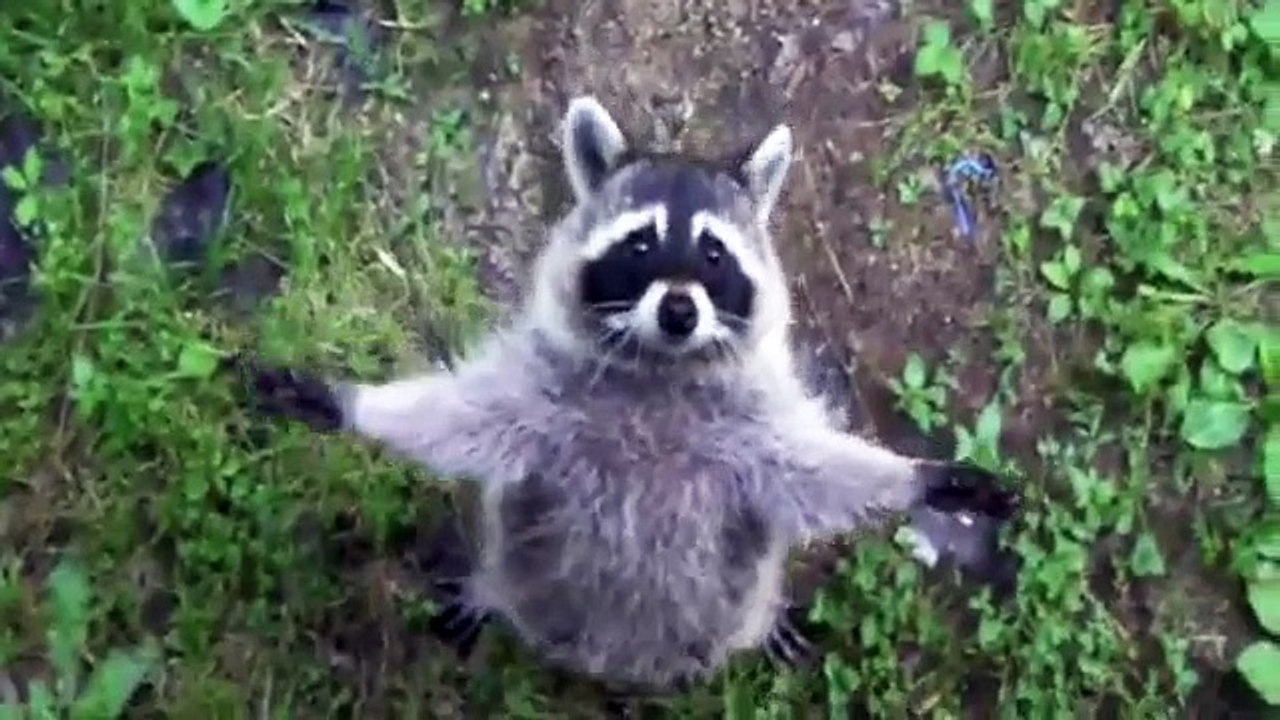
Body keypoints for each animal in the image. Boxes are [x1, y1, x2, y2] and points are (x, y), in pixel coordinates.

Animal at [243, 96, 1020, 693]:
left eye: (713, 254)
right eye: (641, 244)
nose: (678, 309)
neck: (659, 372)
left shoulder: (754, 423)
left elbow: (815, 468)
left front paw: (919, 479)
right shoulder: (541, 391)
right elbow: (462, 416)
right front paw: (352, 404)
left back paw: (761, 621)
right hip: (530, 574)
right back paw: (490, 589)